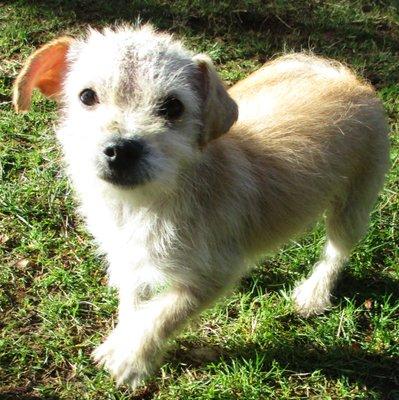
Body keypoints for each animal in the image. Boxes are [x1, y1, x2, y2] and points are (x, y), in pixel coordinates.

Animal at [13, 24, 390, 388]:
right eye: (86, 96)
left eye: (173, 107)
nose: (121, 150)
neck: (149, 201)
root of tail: (347, 77)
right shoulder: (130, 258)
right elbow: (134, 304)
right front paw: (123, 339)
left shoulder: (213, 275)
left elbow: (164, 312)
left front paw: (132, 358)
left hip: (354, 205)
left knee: (336, 252)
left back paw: (314, 293)